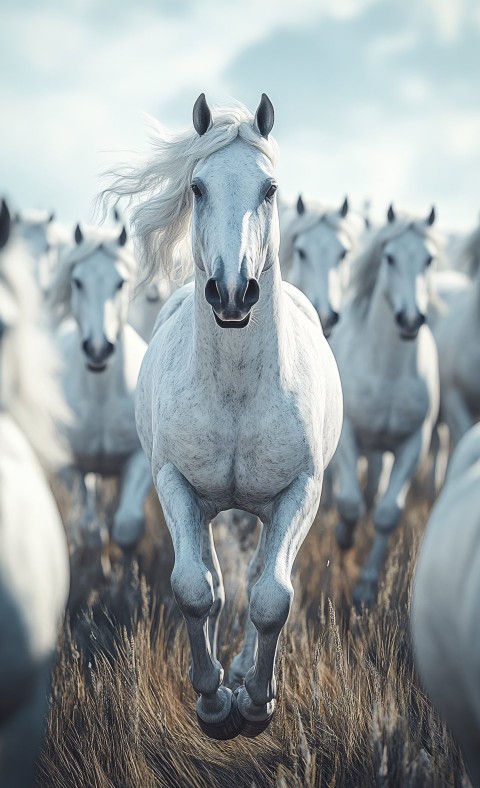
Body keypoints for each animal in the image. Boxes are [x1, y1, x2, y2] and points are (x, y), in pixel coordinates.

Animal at [101, 92, 344, 740]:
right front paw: (213, 705)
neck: (235, 393)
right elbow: (194, 589)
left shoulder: (300, 491)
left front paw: (255, 704)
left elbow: (271, 598)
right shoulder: (174, 484)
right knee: (211, 575)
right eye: (198, 187)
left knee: (260, 573)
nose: (232, 293)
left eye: (269, 188)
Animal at [332, 206, 440, 608]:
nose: (410, 319)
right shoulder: (348, 436)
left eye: (429, 259)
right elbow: (349, 503)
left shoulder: (413, 443)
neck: (388, 372)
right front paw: (344, 538)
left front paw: (365, 589)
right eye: (390, 258)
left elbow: (386, 513)